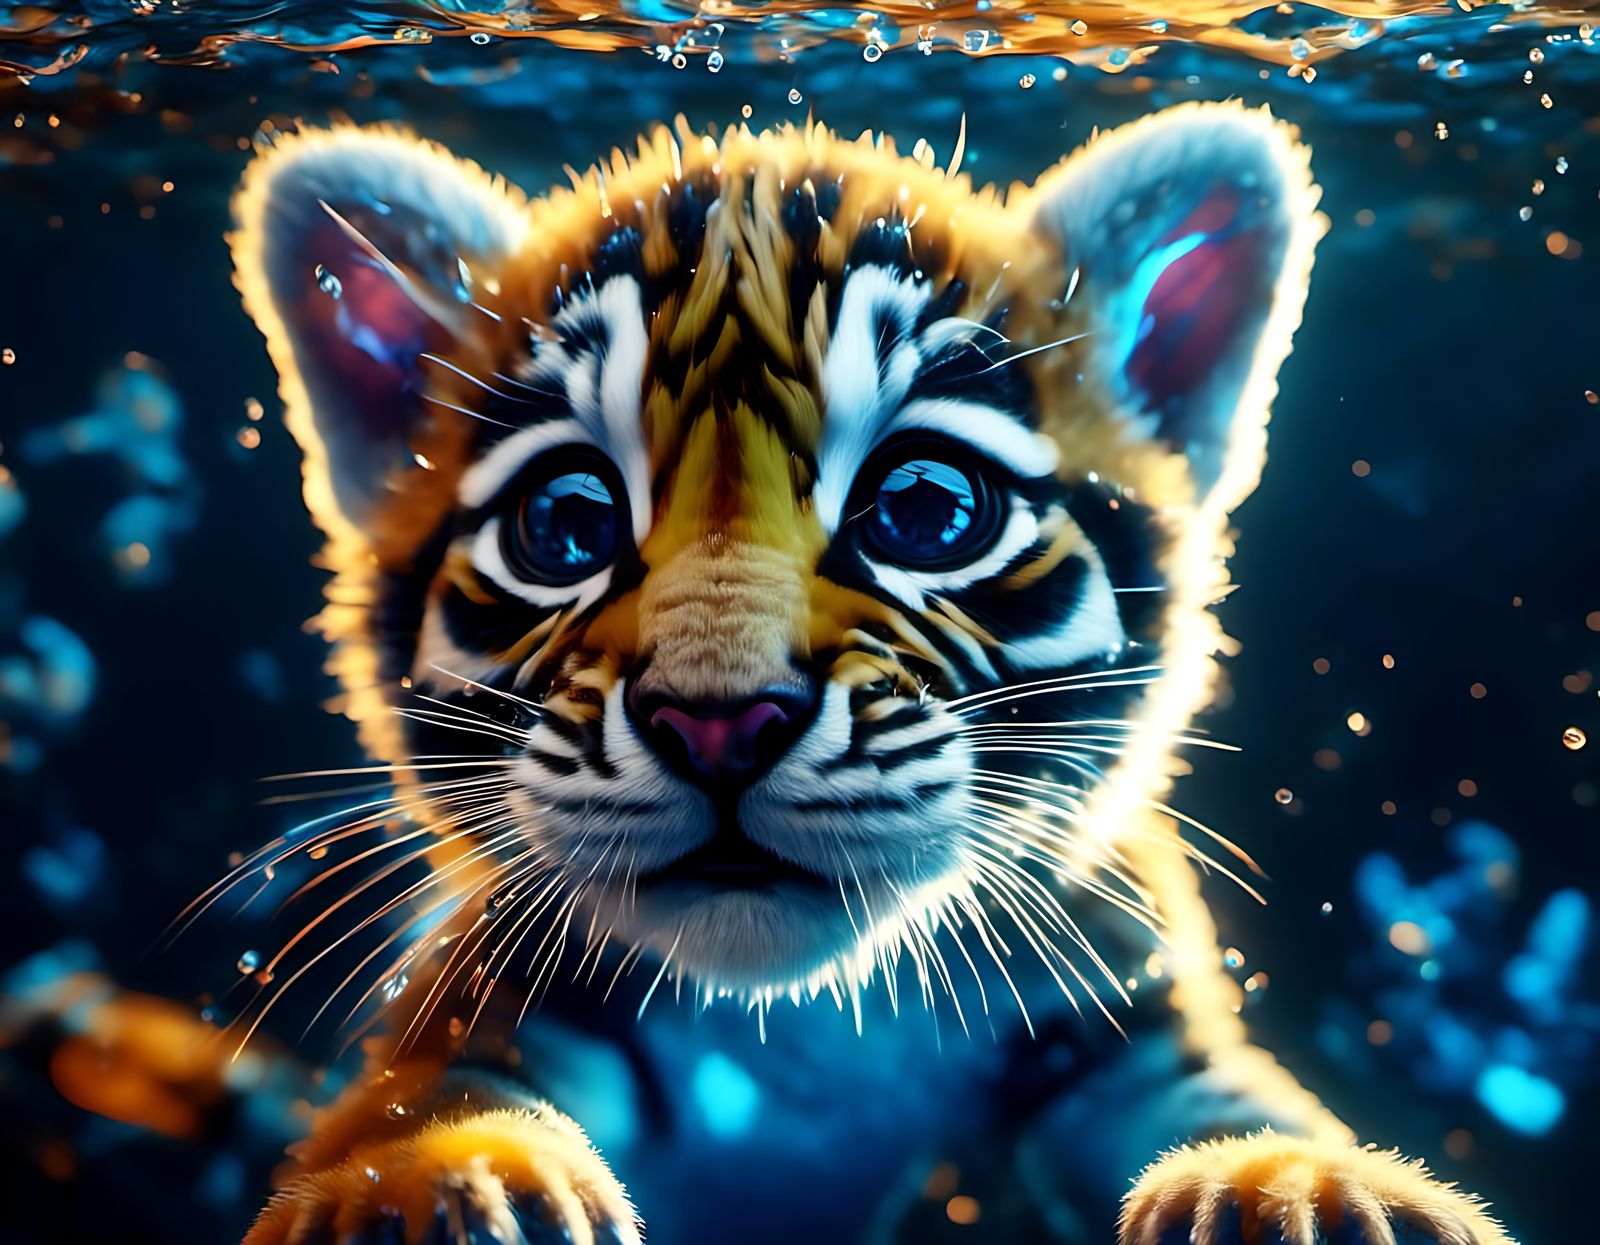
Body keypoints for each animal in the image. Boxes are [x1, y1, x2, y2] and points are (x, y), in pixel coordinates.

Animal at [205, 107, 1515, 1244]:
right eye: (566, 525)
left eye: (925, 511)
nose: (719, 725)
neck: (809, 1030)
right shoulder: (494, 991)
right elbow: (424, 1104)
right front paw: (430, 1189)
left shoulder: (1121, 1011)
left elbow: (1240, 1107)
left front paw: (1316, 1193)